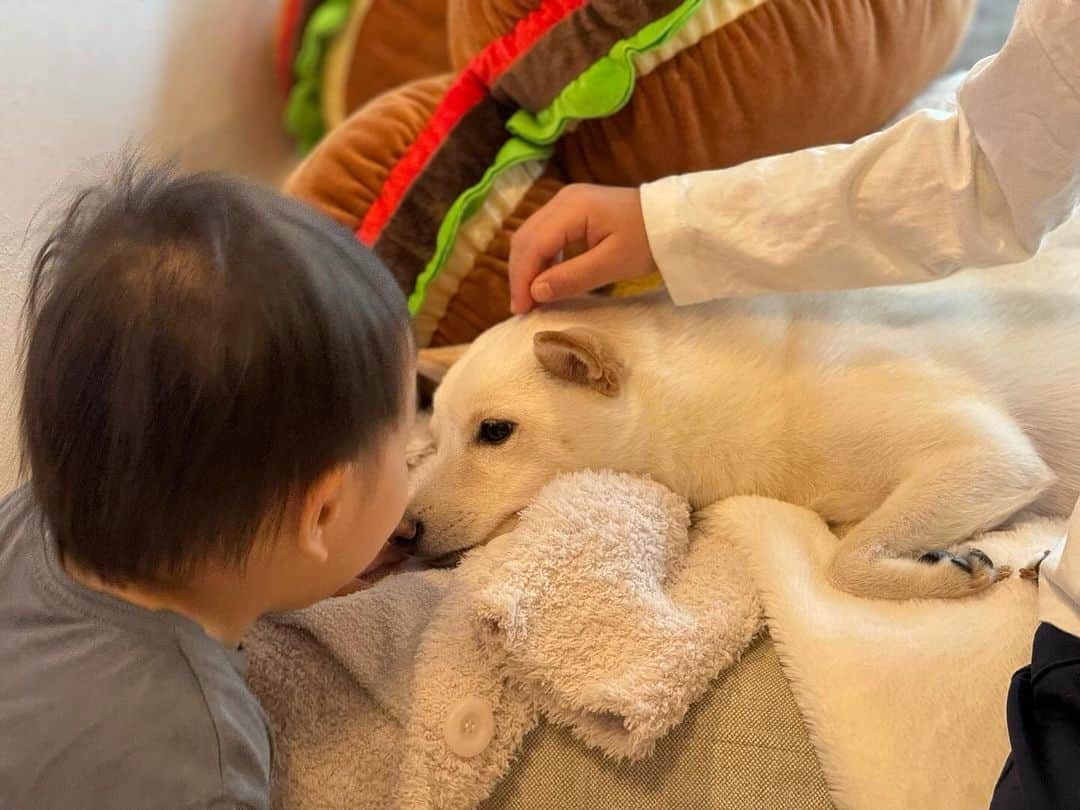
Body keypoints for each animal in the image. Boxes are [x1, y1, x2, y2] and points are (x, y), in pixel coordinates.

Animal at [403, 267, 1080, 604]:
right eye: (433, 440)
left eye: (494, 432)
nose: (403, 532)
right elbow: (847, 550)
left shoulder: (990, 456)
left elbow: (843, 562)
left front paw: (947, 571)